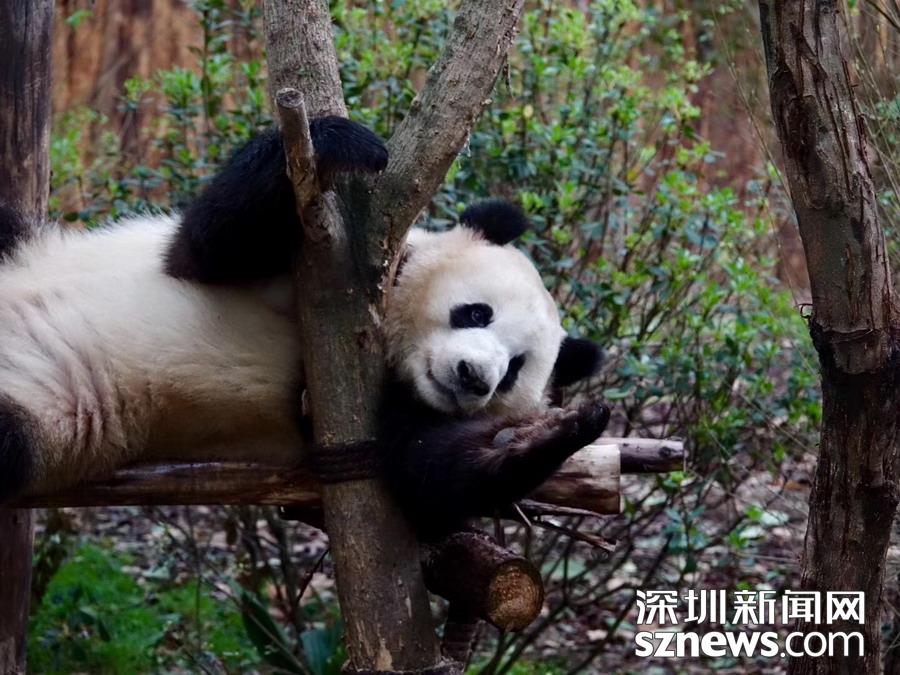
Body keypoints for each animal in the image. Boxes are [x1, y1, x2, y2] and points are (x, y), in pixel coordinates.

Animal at [0, 117, 609, 535]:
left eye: (514, 371)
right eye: (477, 312)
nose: (473, 377)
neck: (387, 333)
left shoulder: (382, 411)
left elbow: (427, 477)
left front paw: (558, 433)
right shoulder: (311, 264)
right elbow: (210, 245)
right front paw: (343, 142)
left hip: (45, 415)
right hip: (24, 252)